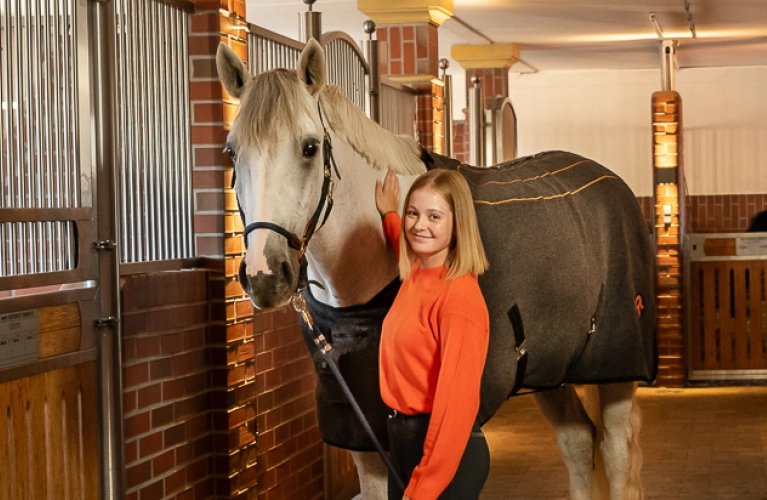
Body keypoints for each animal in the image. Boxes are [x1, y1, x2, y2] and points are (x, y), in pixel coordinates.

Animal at [217, 38, 656, 500]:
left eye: (309, 147)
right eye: (232, 151)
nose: (265, 275)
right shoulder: (360, 426)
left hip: (616, 366)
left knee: (615, 453)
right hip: (551, 368)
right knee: (578, 441)